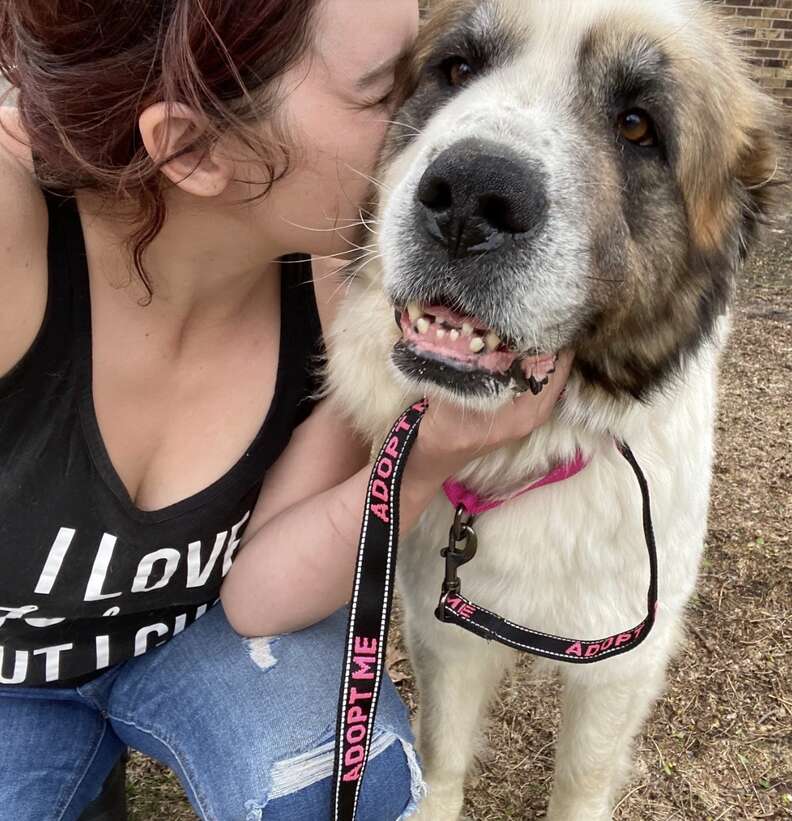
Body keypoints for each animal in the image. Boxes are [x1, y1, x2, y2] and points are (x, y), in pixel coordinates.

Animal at [326, 3, 780, 816]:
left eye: (637, 125)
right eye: (456, 69)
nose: (471, 194)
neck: (544, 444)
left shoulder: (622, 658)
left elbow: (583, 776)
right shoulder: (444, 628)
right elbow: (443, 753)